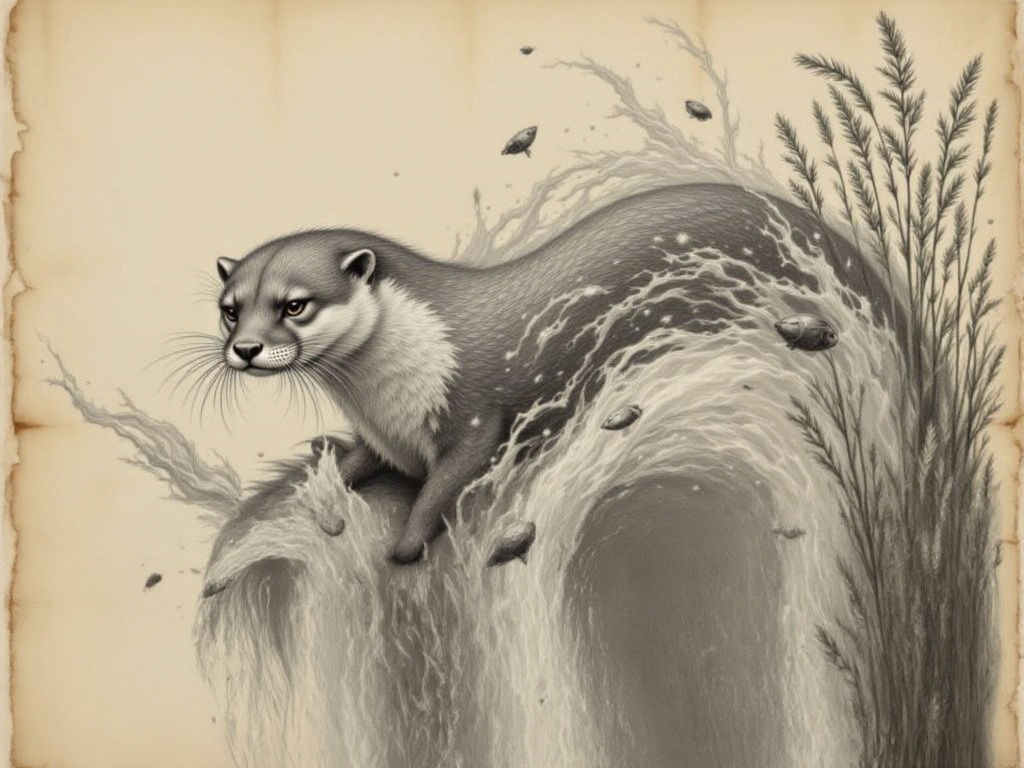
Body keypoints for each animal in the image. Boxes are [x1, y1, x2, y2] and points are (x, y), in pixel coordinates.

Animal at [212, 183, 884, 564]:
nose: (245, 348)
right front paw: (320, 474)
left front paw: (406, 544)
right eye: (230, 308)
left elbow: (445, 478)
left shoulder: (474, 411)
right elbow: (362, 461)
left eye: (294, 305)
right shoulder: (386, 434)